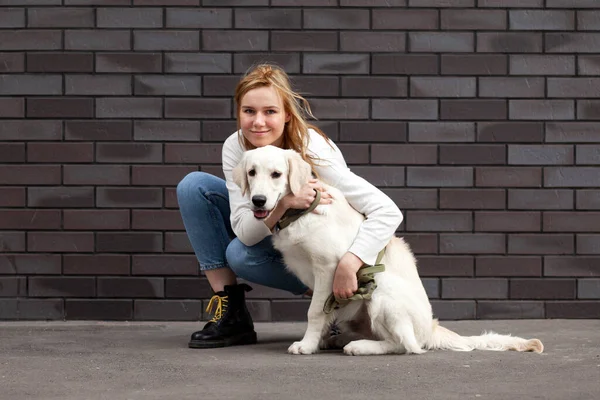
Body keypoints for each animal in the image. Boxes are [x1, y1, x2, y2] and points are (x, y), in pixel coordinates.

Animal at [234, 146, 544, 356]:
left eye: (277, 174)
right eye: (252, 173)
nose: (258, 200)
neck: (301, 211)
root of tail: (431, 329)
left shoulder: (329, 267)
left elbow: (315, 312)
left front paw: (307, 345)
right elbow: (322, 313)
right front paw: (318, 340)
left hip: (381, 291)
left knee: (407, 346)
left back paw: (360, 346)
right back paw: (343, 339)